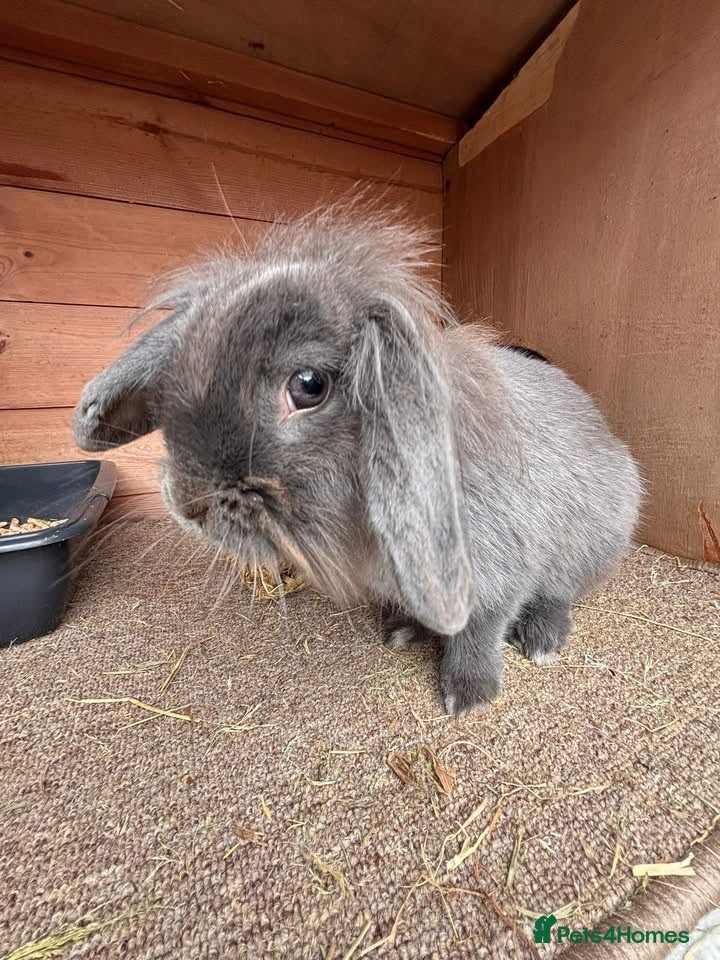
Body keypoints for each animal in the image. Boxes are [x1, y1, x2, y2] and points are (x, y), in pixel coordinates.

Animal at [73, 205, 643, 716]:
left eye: (308, 386)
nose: (186, 504)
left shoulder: (494, 571)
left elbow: (479, 630)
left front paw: (468, 697)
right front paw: (402, 630)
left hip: (594, 539)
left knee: (561, 591)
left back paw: (543, 639)